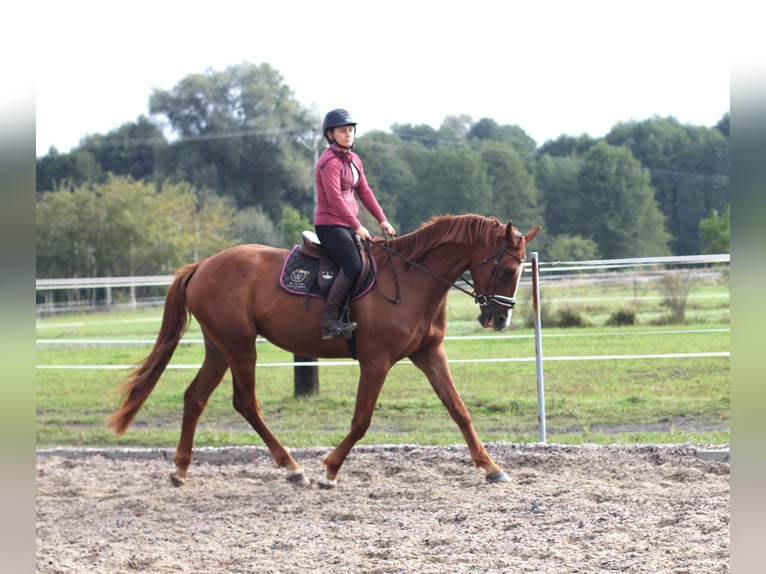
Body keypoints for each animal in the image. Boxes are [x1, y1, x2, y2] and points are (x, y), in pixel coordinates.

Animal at [108, 216, 544, 490]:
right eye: (508, 269)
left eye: (523, 269)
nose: (499, 318)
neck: (413, 280)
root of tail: (203, 265)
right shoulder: (376, 362)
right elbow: (361, 421)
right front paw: (329, 471)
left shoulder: (429, 354)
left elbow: (459, 411)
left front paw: (491, 467)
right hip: (240, 347)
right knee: (246, 403)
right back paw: (293, 469)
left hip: (219, 348)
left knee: (195, 398)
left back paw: (181, 470)